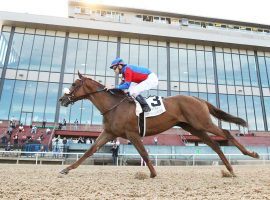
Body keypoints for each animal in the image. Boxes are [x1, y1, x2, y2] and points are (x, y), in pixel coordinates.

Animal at [59, 72, 260, 178]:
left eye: (74, 84)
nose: (62, 99)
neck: (113, 105)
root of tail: (198, 98)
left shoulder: (132, 134)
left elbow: (144, 153)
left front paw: (153, 173)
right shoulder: (109, 133)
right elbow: (89, 151)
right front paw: (66, 169)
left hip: (202, 122)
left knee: (226, 133)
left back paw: (252, 154)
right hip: (193, 127)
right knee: (215, 145)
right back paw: (230, 169)